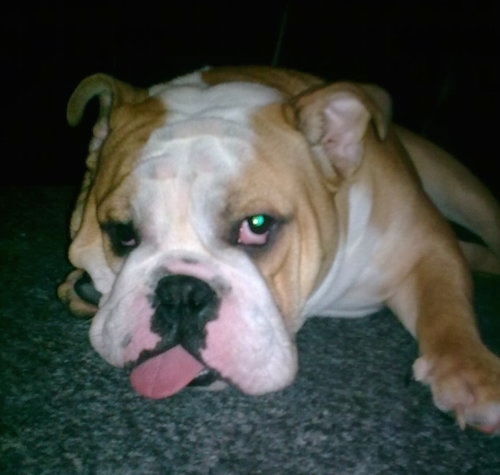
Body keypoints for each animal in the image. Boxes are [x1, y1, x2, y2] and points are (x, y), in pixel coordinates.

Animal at [58, 66, 500, 436]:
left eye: (257, 226)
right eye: (122, 233)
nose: (181, 292)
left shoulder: (427, 243)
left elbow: (446, 304)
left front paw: (470, 375)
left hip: (457, 185)